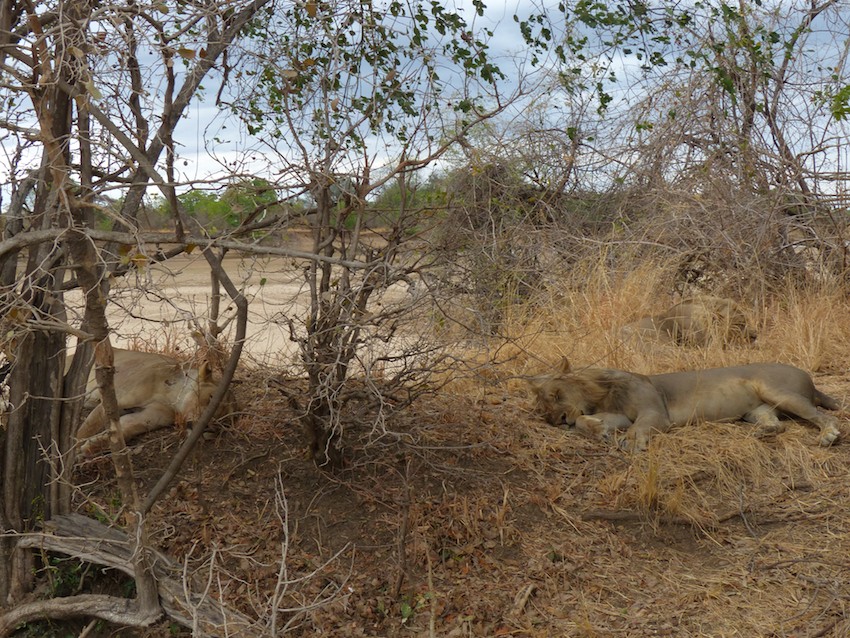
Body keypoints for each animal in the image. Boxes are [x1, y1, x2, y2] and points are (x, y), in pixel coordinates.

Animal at [72, 348, 237, 454]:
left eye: (225, 421)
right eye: (211, 398)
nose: (211, 429)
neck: (170, 397)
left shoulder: (147, 417)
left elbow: (125, 430)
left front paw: (92, 446)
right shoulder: (110, 402)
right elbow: (85, 429)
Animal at [528, 359, 841, 450]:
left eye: (556, 395)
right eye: (543, 412)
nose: (558, 420)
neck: (602, 394)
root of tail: (808, 376)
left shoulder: (654, 412)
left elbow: (639, 427)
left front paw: (632, 442)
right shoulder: (621, 415)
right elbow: (586, 420)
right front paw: (597, 429)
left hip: (778, 391)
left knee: (823, 416)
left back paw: (828, 436)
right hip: (757, 410)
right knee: (776, 424)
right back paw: (764, 433)